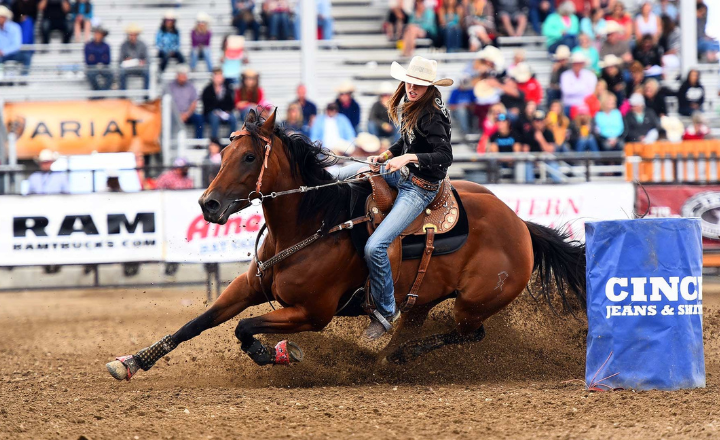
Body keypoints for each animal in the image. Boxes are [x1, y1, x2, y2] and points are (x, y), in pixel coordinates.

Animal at [105, 108, 584, 380]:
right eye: (222, 155)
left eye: (248, 156)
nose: (208, 204)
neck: (310, 223)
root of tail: (520, 225)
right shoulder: (248, 287)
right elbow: (197, 324)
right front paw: (132, 362)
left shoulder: (312, 313)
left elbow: (246, 328)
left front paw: (276, 354)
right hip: (424, 299)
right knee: (420, 323)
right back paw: (386, 353)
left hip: (475, 302)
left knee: (470, 334)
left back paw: (397, 357)